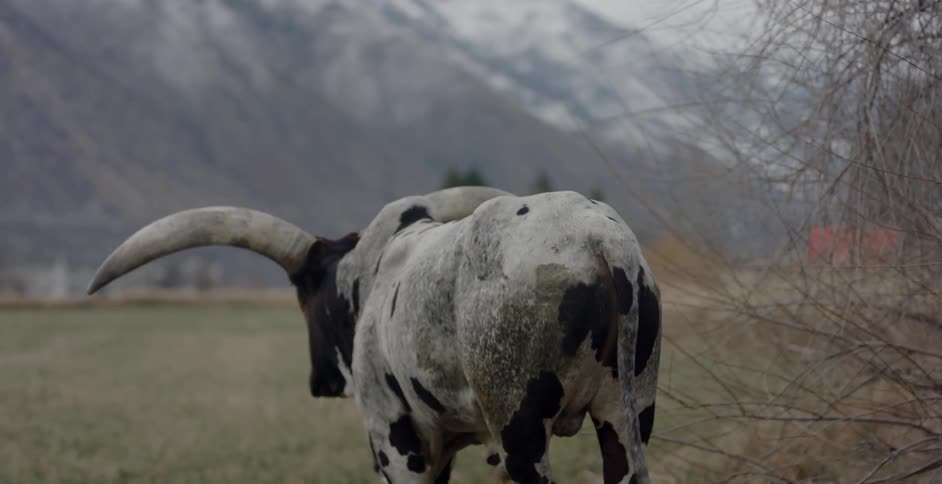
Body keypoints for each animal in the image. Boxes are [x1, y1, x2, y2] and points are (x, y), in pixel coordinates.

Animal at [87, 186, 662, 484]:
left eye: (307, 300)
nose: (318, 381)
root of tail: (600, 240)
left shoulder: (393, 438)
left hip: (521, 432)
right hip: (626, 415)